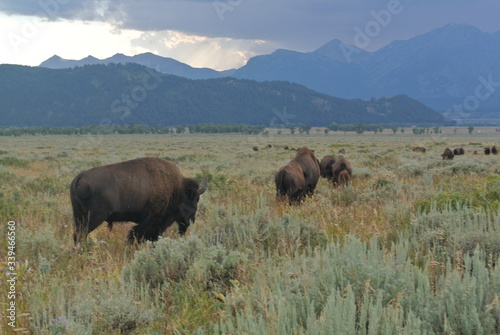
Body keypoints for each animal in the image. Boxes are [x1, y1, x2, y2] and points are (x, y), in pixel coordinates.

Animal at [70, 156, 207, 245]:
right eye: (195, 199)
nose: (190, 221)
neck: (177, 189)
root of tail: (80, 176)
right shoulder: (150, 221)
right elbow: (137, 234)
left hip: (79, 216)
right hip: (93, 218)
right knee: (80, 234)